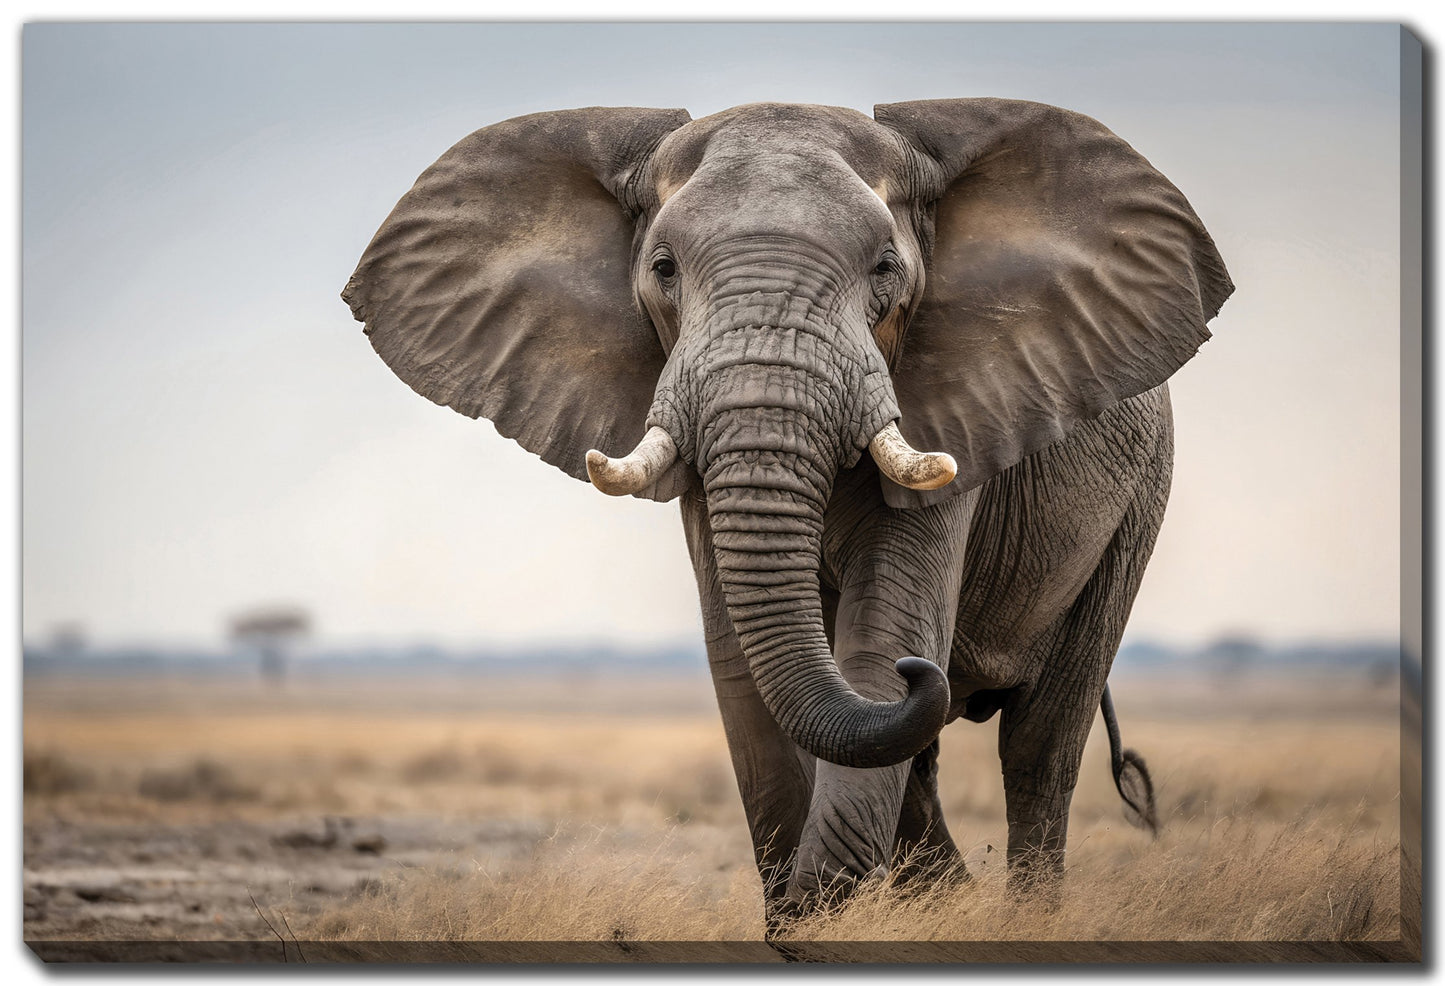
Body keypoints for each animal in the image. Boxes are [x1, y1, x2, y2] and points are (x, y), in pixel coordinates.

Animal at [343, 98, 1232, 926]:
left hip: (1135, 505)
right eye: (662, 268)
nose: (918, 673)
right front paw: (810, 921)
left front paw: (821, 918)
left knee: (1040, 743)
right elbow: (741, 666)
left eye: (884, 268)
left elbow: (881, 634)